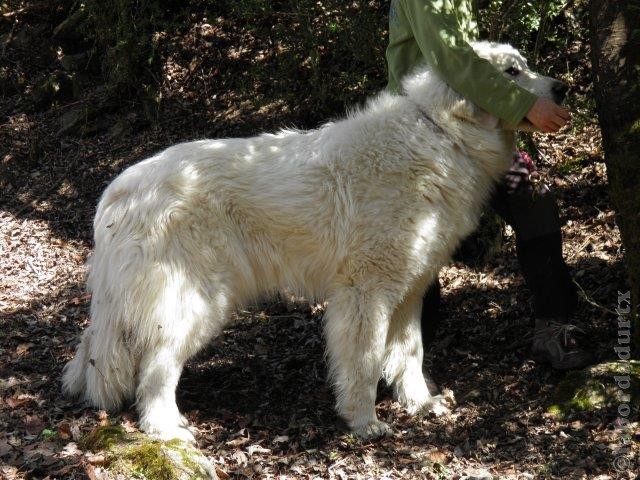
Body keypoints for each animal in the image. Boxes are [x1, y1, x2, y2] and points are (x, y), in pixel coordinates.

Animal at [63, 43, 564, 440]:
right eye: (511, 73)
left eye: (524, 65)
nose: (562, 89)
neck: (442, 135)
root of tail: (118, 191)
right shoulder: (365, 294)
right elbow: (365, 361)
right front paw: (364, 422)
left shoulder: (409, 292)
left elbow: (409, 355)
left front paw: (420, 404)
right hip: (195, 301)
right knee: (156, 370)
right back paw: (166, 429)